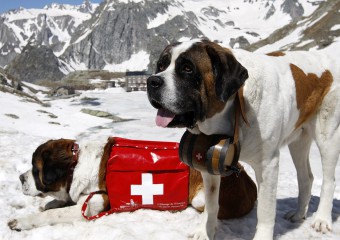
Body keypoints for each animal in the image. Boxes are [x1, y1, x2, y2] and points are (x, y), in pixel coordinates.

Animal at [7, 137, 256, 231]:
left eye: (35, 169)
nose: (20, 178)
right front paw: (47, 205)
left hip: (200, 197)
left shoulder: (95, 202)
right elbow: (56, 205)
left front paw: (23, 221)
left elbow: (54, 214)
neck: (75, 166)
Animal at [147, 38, 340, 239]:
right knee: (306, 177)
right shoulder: (208, 162)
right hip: (298, 141)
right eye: (161, 66)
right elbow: (211, 203)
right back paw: (298, 214)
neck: (232, 108)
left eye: (187, 68)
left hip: (328, 135)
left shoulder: (267, 166)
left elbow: (265, 211)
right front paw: (205, 231)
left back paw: (322, 220)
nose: (152, 81)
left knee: (329, 180)